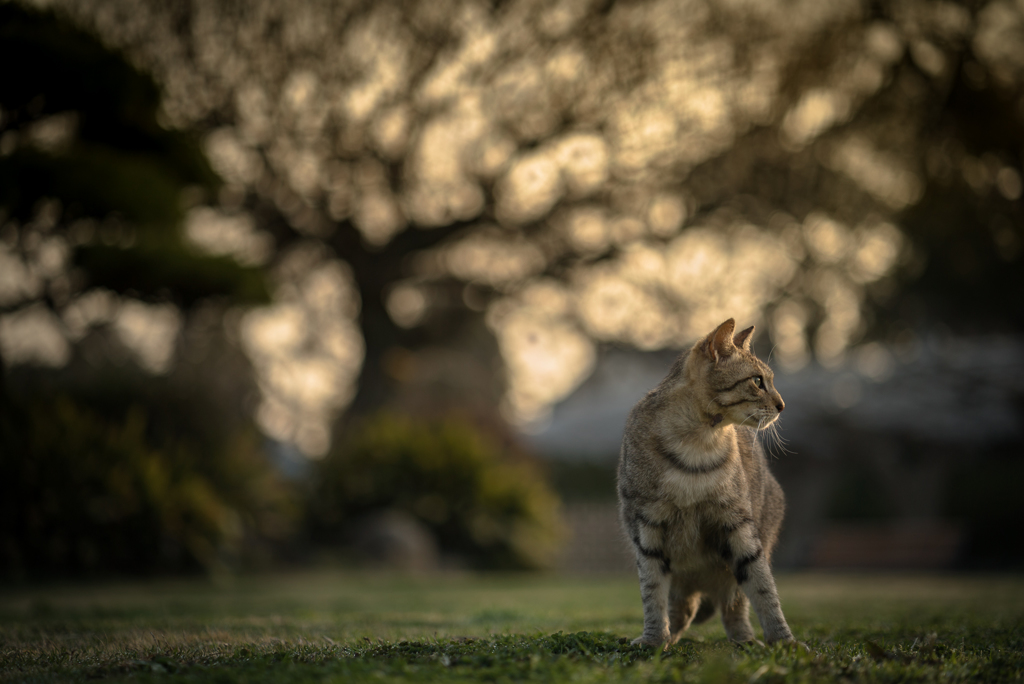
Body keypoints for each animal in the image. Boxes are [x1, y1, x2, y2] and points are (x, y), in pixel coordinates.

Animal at [610, 317, 794, 647]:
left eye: (770, 380)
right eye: (758, 381)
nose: (782, 404)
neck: (699, 440)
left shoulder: (740, 525)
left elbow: (763, 587)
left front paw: (785, 641)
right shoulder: (647, 528)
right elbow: (652, 591)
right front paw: (653, 639)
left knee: (734, 606)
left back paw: (746, 640)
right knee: (681, 607)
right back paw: (669, 637)